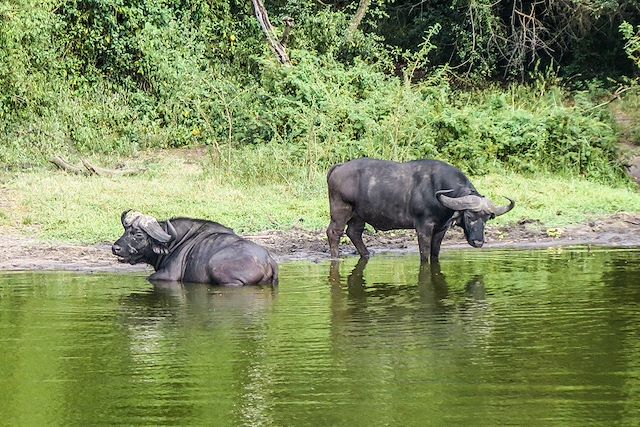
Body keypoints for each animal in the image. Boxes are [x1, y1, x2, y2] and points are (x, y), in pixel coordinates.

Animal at [112, 211, 278, 286]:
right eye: (125, 230)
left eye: (138, 234)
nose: (115, 248)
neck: (173, 243)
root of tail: (269, 260)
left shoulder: (168, 276)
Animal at [328, 158, 512, 262]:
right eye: (468, 216)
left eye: (487, 219)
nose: (478, 242)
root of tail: (338, 167)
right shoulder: (424, 228)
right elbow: (424, 255)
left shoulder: (441, 229)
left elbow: (435, 254)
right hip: (341, 210)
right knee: (334, 232)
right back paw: (335, 257)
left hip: (359, 215)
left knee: (354, 232)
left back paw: (366, 255)